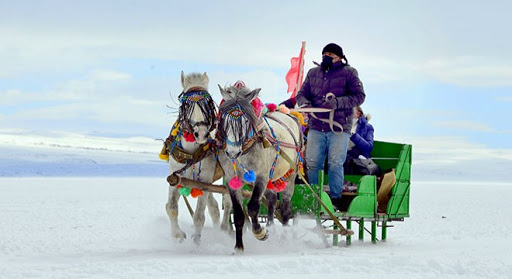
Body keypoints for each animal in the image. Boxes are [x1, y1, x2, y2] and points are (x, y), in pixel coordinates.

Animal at [163, 72, 231, 245]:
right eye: (186, 104)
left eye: (209, 103)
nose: (201, 134)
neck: (191, 153)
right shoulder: (176, 177)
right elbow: (171, 207)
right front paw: (178, 235)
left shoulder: (205, 180)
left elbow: (199, 216)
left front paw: (196, 242)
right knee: (214, 207)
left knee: (228, 201)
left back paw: (224, 230)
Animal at [216, 81, 304, 254]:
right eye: (224, 120)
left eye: (245, 122)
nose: (232, 152)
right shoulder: (231, 178)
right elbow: (238, 214)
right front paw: (238, 247)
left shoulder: (261, 177)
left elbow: (252, 207)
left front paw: (260, 232)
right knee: (271, 200)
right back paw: (271, 227)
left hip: (290, 175)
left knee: (285, 209)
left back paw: (284, 240)